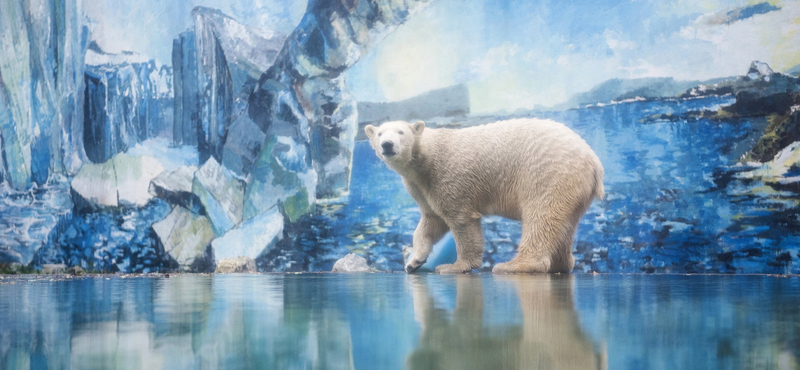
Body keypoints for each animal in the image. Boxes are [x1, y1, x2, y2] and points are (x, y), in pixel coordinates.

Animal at [366, 119, 604, 274]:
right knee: (564, 224)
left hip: (548, 172)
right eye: (379, 134)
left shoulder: (449, 175)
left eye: (400, 132)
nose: (387, 145)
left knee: (541, 216)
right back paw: (561, 264)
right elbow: (431, 221)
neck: (426, 157)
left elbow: (461, 221)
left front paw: (455, 266)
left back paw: (514, 265)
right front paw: (414, 261)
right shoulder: (422, 186)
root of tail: (593, 160)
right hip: (573, 187)